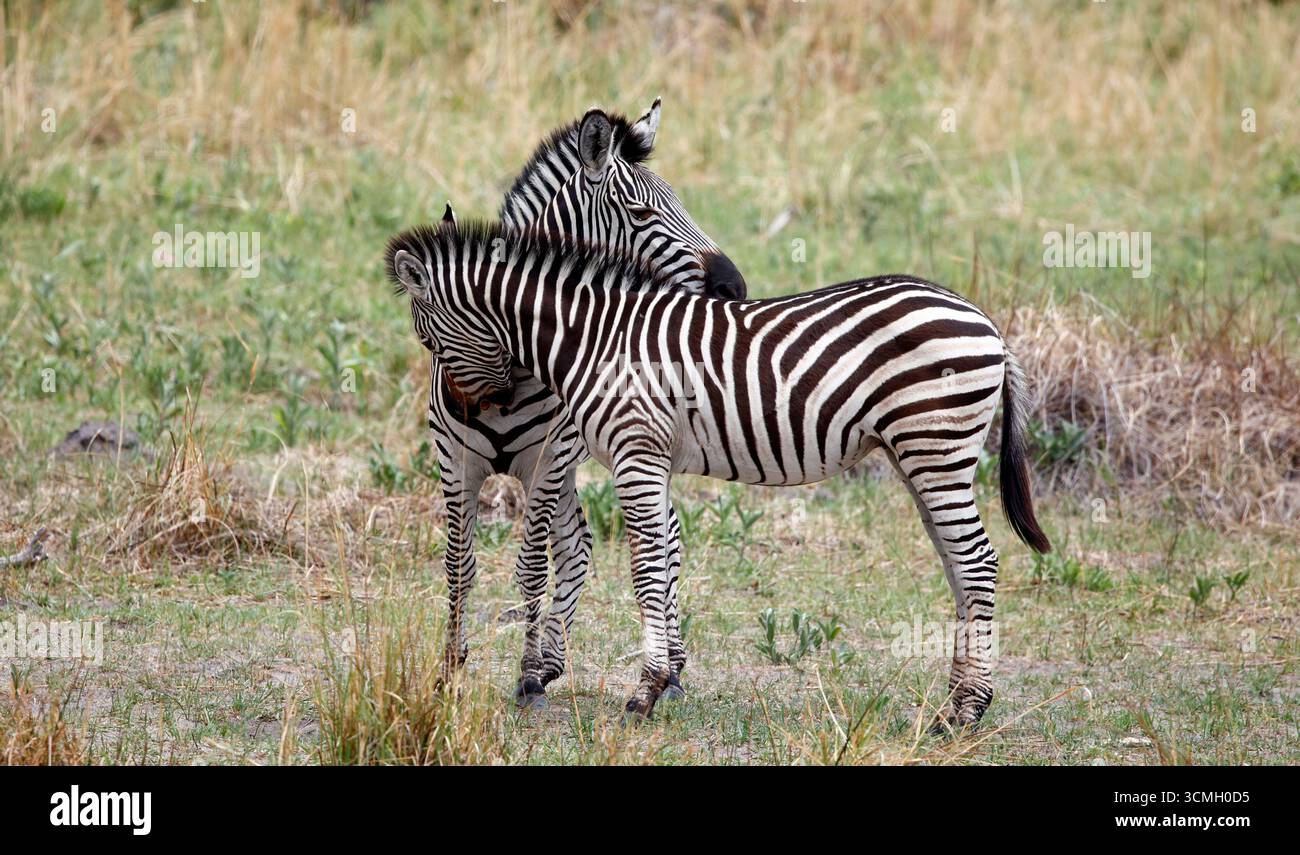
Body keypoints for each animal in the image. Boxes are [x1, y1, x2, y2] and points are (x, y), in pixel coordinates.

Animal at [386, 219, 1052, 729]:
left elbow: (646, 570)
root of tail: (987, 323)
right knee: (958, 566)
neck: (594, 338)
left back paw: (968, 711)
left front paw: (645, 692)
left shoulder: (636, 450)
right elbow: (655, 562)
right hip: (918, 454)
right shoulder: (650, 457)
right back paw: (952, 705)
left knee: (977, 562)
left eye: (428, 340)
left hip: (934, 445)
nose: (477, 411)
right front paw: (659, 682)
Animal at [421, 100, 746, 709]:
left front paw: (526, 674)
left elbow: (531, 567)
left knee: (662, 536)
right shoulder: (457, 463)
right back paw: (563, 660)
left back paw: (668, 669)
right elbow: (460, 567)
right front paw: (450, 672)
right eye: (640, 213)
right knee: (583, 543)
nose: (733, 287)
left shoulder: (548, 458)